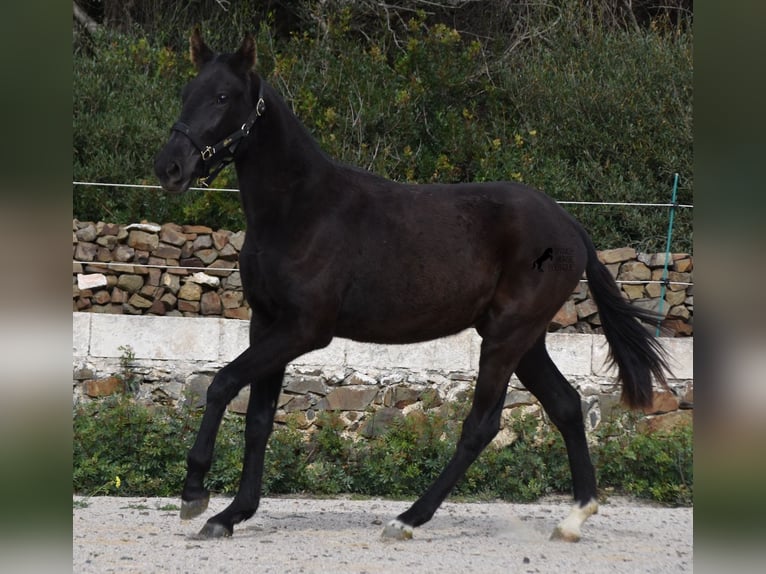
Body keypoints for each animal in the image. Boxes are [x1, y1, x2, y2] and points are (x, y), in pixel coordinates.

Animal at [153, 31, 668, 544]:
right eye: (187, 91)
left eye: (223, 96)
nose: (170, 167)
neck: (302, 210)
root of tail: (570, 226)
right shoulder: (266, 324)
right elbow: (258, 419)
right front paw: (230, 514)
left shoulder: (303, 330)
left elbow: (221, 383)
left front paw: (194, 495)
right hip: (526, 340)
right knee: (565, 405)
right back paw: (574, 517)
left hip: (508, 336)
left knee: (482, 424)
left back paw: (407, 518)